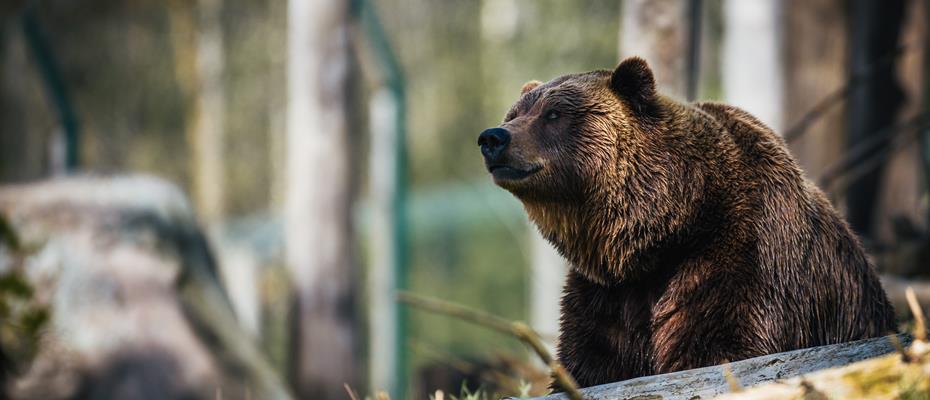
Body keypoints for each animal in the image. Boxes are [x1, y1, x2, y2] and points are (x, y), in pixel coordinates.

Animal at [474, 57, 896, 388]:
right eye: (515, 113)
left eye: (554, 114)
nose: (493, 137)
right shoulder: (607, 296)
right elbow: (590, 362)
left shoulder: (741, 256)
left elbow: (719, 346)